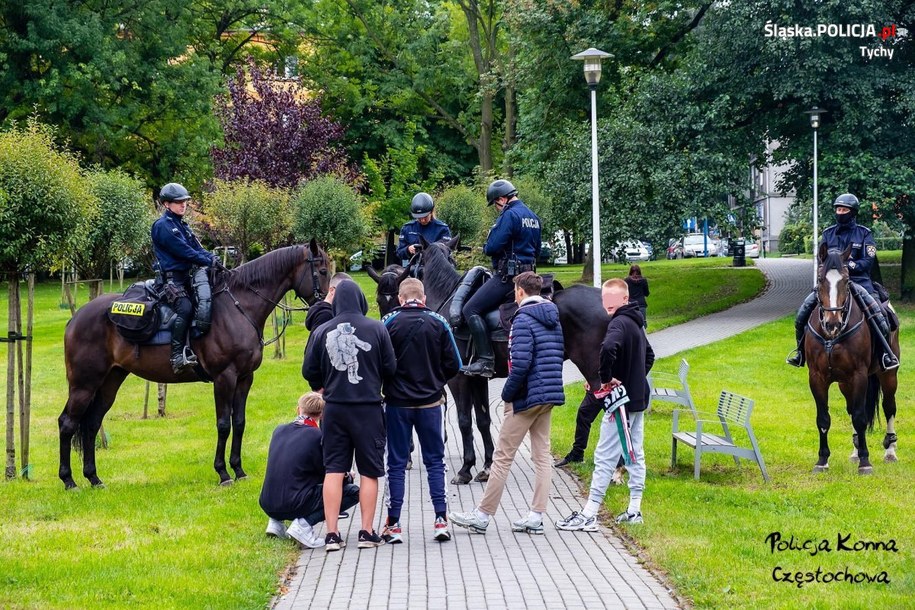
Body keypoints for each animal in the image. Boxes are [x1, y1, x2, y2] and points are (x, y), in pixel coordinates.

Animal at [58, 242, 330, 490]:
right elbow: (223, 424)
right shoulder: (224, 378)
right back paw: (69, 481)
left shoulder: (245, 378)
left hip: (110, 382)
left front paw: (239, 470)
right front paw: (223, 473)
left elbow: (239, 422)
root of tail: (76, 318)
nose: (324, 305)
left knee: (92, 424)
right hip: (84, 384)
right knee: (67, 423)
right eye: (323, 270)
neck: (238, 307)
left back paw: (94, 479)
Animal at [372, 236, 616, 480]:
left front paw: (466, 468)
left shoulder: (458, 379)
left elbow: (464, 420)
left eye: (392, 296)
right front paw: (488, 465)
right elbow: (483, 420)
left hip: (594, 369)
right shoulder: (477, 378)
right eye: (380, 299)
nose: (389, 327)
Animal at [804, 242, 900, 476]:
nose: (832, 323)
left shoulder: (859, 376)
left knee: (889, 407)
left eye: (847, 281)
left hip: (888, 375)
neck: (832, 338)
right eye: (820, 279)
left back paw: (890, 451)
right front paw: (822, 460)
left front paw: (866, 462)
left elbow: (860, 417)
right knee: (852, 410)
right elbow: (823, 418)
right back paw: (855, 451)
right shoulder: (817, 377)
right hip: (844, 383)